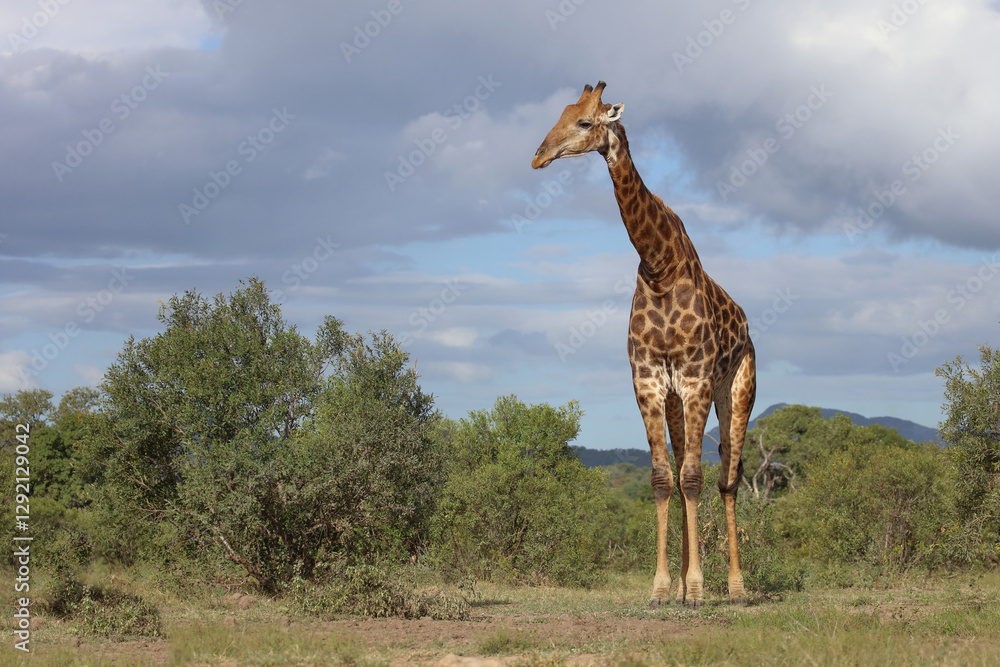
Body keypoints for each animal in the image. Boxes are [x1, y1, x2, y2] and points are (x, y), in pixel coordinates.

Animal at [532, 81, 757, 607]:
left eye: (585, 122)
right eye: (560, 115)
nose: (538, 156)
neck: (660, 266)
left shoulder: (695, 378)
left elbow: (694, 477)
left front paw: (697, 589)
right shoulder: (649, 381)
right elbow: (661, 478)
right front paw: (662, 588)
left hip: (736, 389)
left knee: (727, 477)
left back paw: (736, 588)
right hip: (678, 400)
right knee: (684, 469)